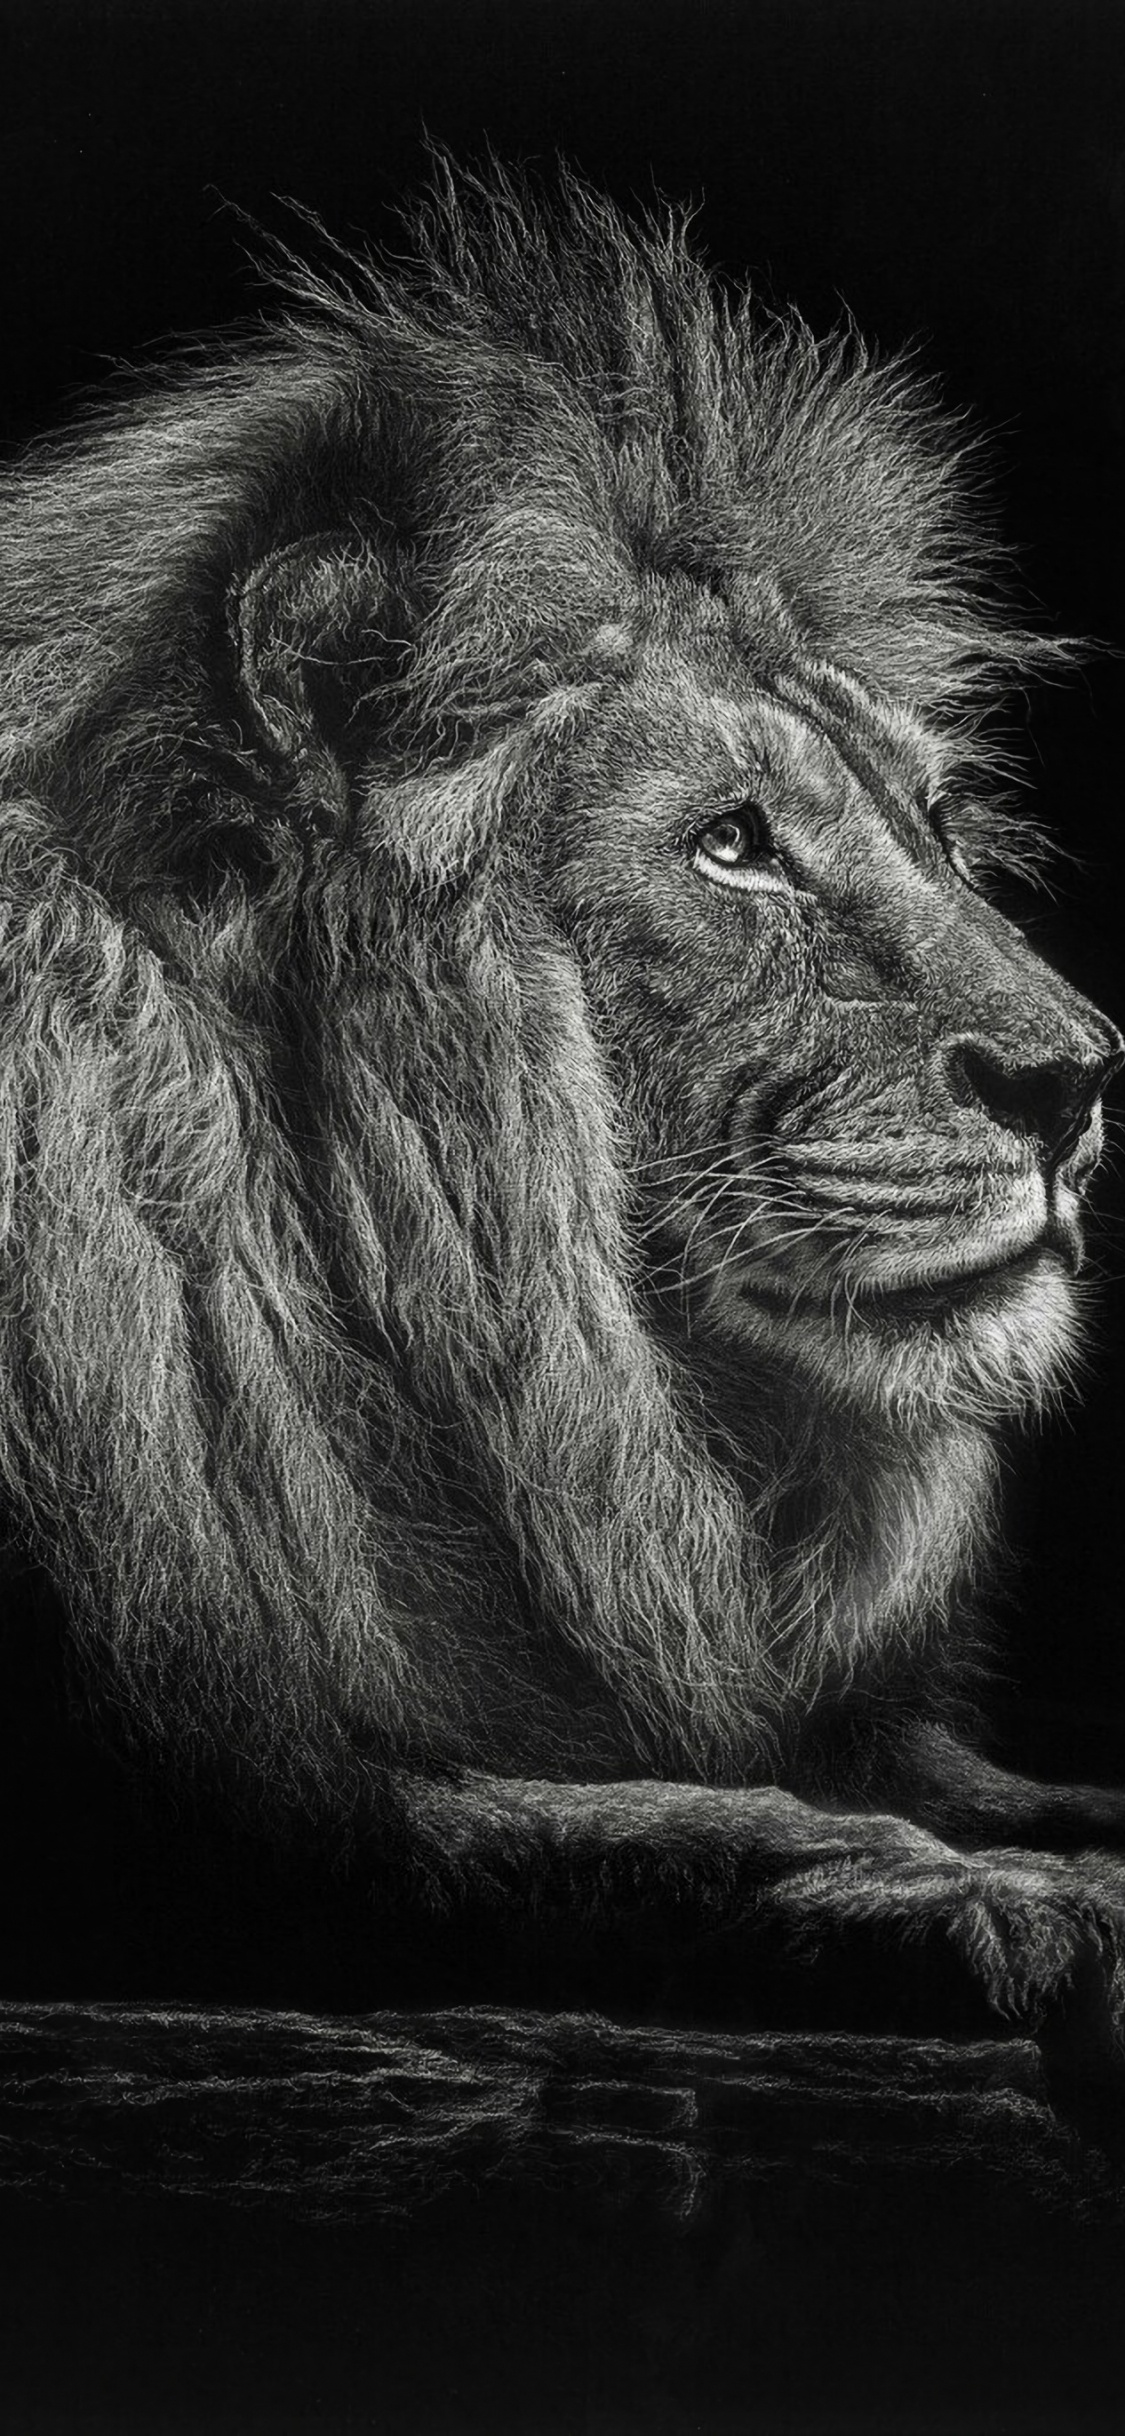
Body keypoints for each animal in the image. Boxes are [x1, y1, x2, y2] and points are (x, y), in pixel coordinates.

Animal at [1, 162, 1123, 2036]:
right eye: (732, 844)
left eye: (940, 827)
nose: (1078, 1079)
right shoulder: (229, 1811)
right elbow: (584, 1834)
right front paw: (966, 1896)